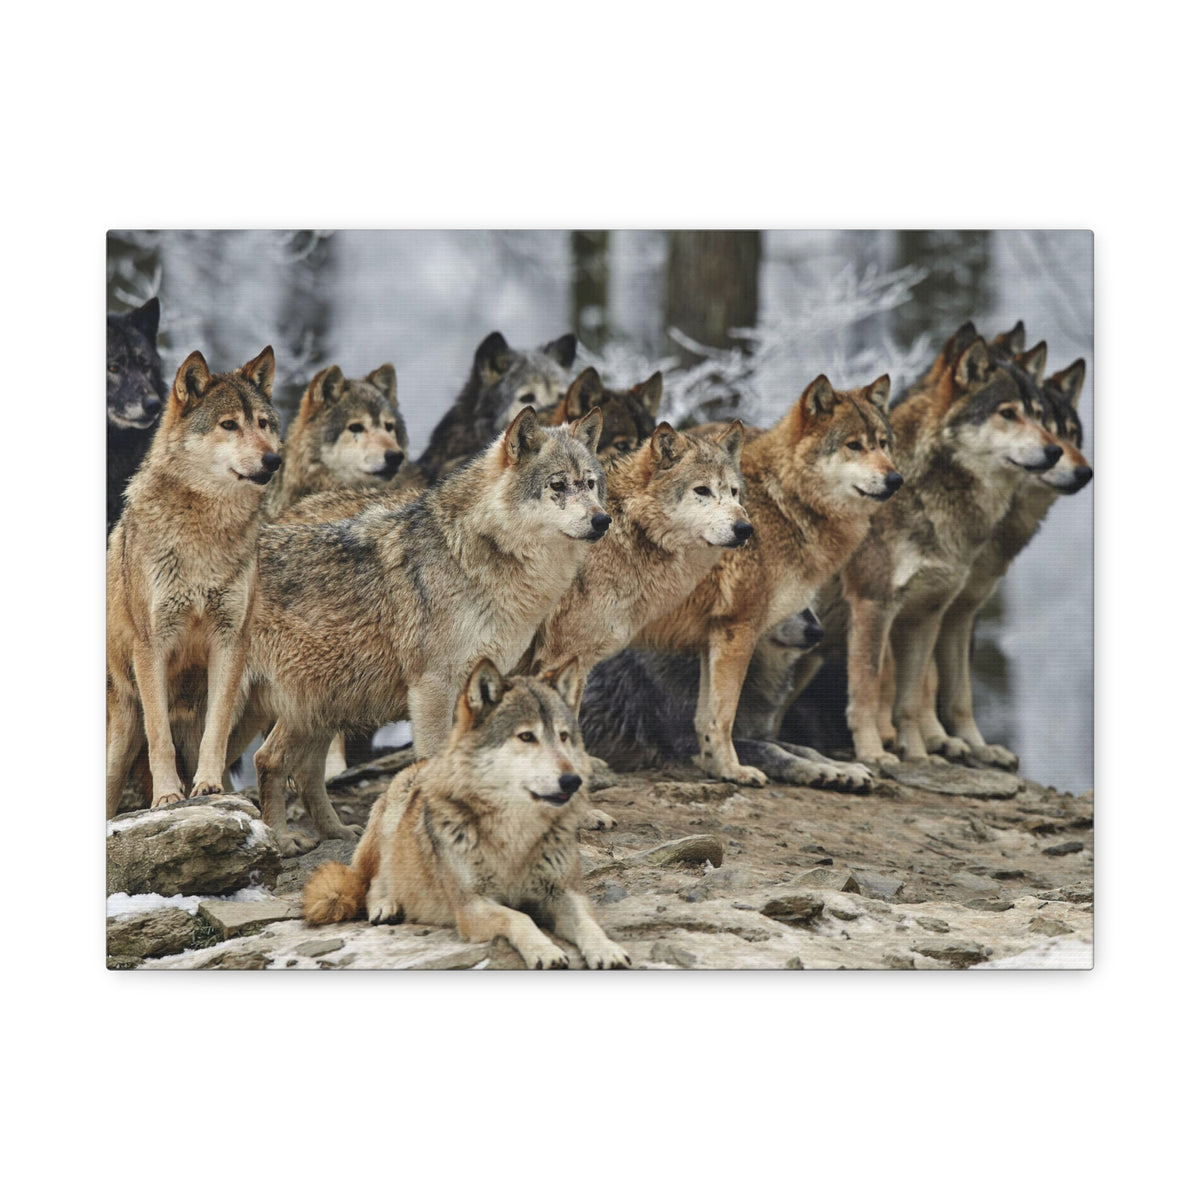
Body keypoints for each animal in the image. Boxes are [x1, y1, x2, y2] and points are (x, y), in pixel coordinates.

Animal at [106, 347, 281, 817]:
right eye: (228, 425)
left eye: (264, 423)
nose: (273, 459)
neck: (205, 534)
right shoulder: (152, 645)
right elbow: (160, 737)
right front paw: (168, 795)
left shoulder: (231, 640)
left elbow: (214, 730)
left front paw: (207, 786)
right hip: (119, 737)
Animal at [238, 406, 610, 855]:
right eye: (557, 485)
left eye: (590, 484)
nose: (603, 520)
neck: (476, 555)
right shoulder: (433, 687)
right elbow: (435, 759)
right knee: (267, 760)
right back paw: (279, 839)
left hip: (322, 702)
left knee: (293, 766)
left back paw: (336, 833)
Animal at [302, 658, 631, 969]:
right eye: (527, 737)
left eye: (563, 736)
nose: (572, 781)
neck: (516, 835)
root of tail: (419, 763)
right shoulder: (471, 906)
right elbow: (519, 918)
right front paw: (546, 951)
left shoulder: (564, 893)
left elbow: (588, 924)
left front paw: (607, 951)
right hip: (392, 818)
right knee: (371, 881)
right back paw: (386, 905)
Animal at [629, 373, 902, 786]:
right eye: (854, 446)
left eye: (883, 444)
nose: (896, 479)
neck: (785, 503)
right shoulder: (738, 629)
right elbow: (724, 717)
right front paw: (733, 770)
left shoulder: (714, 635)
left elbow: (709, 719)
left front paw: (716, 768)